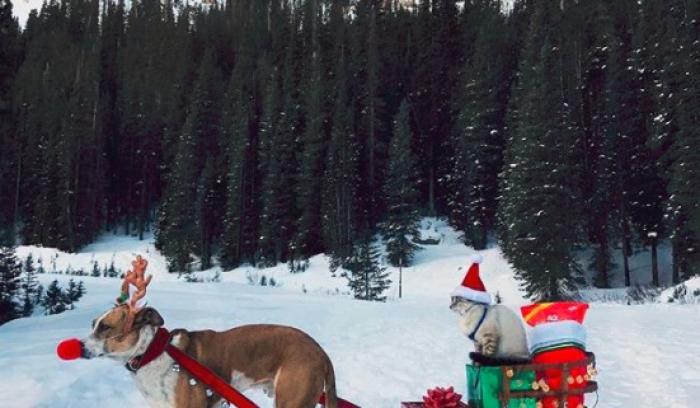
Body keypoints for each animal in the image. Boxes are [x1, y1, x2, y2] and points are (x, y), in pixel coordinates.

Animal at [82, 306, 340, 408]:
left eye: (104, 327)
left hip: (290, 400)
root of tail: (320, 352)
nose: (81, 347)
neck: (152, 353)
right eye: (93, 324)